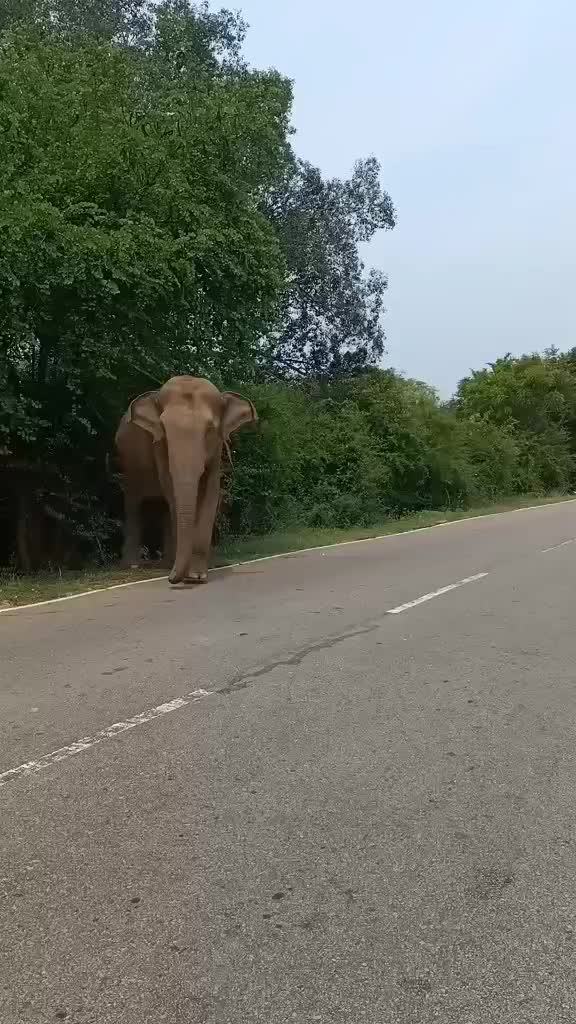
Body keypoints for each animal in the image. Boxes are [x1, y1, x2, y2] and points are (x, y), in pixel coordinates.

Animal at [115, 376, 257, 585]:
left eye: (210, 430)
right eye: (164, 429)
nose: (171, 579)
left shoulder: (217, 450)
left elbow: (211, 492)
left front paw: (196, 576)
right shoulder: (159, 445)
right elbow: (170, 487)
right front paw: (188, 574)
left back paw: (166, 562)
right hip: (128, 466)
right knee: (133, 504)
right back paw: (134, 565)